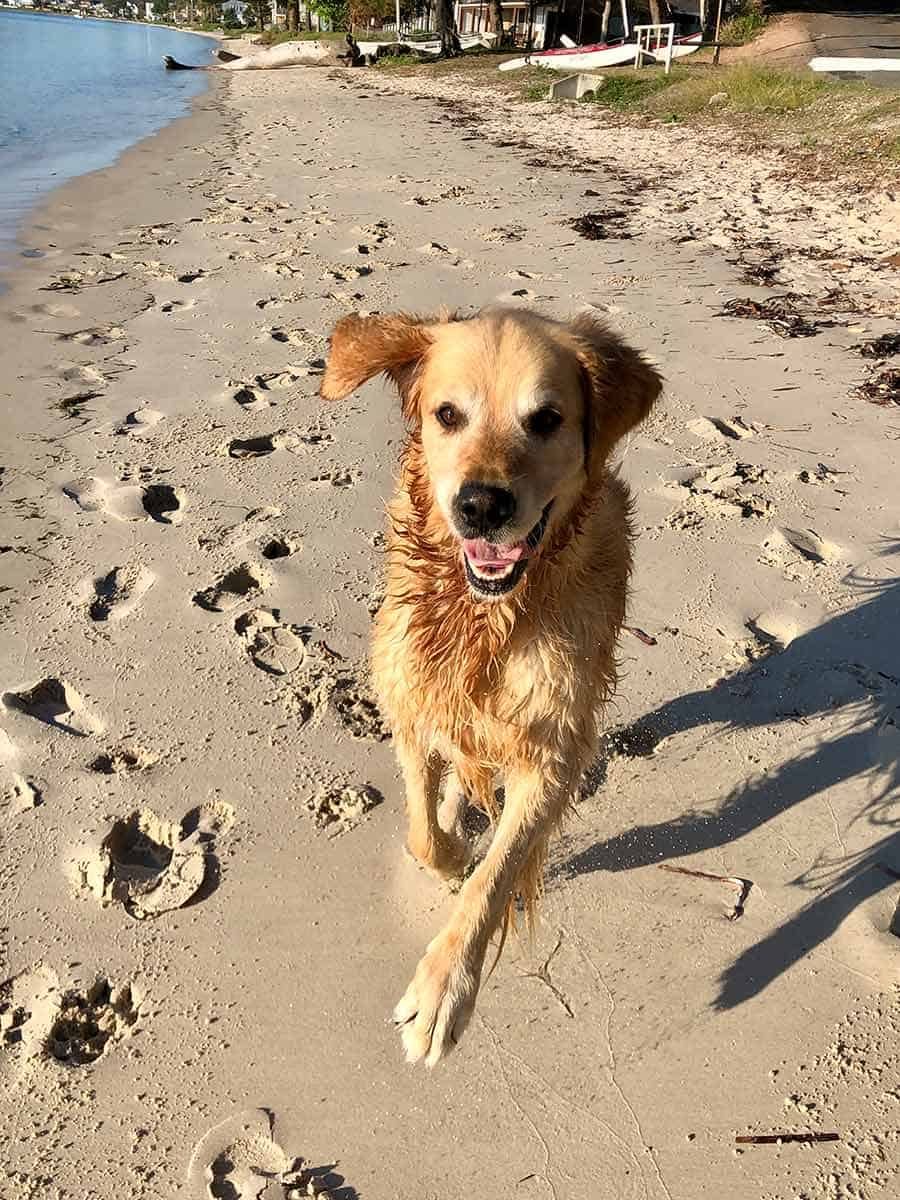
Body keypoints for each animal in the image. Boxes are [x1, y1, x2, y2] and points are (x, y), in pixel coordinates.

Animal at [321, 309, 662, 1070]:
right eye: (448, 414)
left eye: (547, 419)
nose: (481, 505)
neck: (484, 616)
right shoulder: (413, 698)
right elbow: (424, 832)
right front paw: (448, 852)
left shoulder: (550, 750)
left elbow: (494, 877)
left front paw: (443, 991)